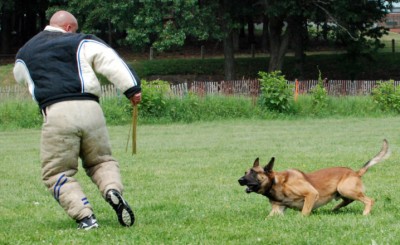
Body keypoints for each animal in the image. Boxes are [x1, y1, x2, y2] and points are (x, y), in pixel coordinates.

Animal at [238, 140, 390, 216]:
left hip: (345, 188)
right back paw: (334, 209)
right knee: (348, 201)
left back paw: (365, 213)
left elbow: (304, 213)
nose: (240, 180)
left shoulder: (311, 194)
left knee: (369, 200)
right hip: (343, 192)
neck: (277, 183)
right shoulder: (278, 209)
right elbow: (269, 217)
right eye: (245, 172)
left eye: (254, 173)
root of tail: (355, 172)